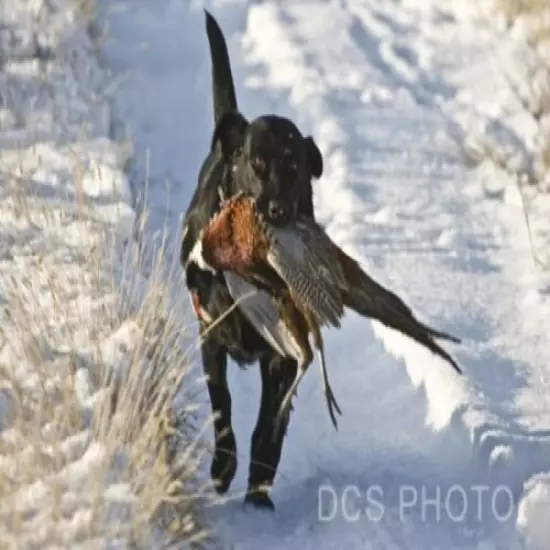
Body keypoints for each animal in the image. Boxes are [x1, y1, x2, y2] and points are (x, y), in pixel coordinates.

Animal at [181, 9, 326, 512]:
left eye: (295, 165)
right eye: (257, 164)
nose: (276, 210)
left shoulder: (283, 355)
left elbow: (270, 425)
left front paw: (259, 488)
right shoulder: (210, 334)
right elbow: (221, 406)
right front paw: (223, 469)